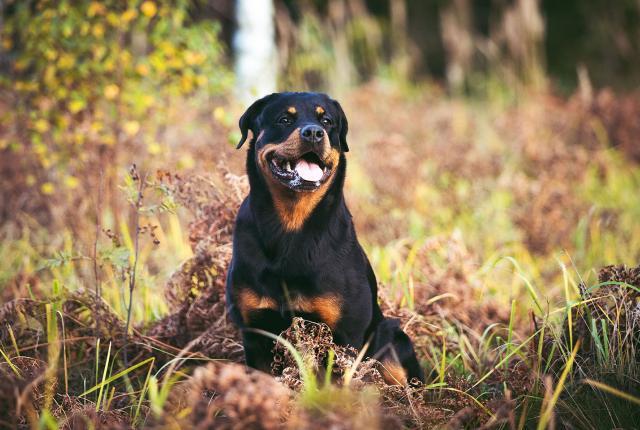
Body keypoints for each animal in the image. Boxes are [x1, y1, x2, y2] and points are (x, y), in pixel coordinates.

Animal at [225, 90, 424, 382]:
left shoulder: (346, 336)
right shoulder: (255, 333)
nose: (314, 133)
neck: (291, 227)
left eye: (327, 121)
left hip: (391, 338)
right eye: (285, 119)